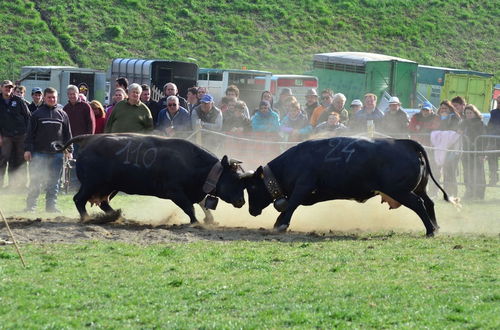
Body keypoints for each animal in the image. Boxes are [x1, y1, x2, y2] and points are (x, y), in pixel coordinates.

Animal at [54, 133, 246, 223]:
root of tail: (89, 138)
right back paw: (87, 218)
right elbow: (189, 208)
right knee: (79, 199)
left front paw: (209, 219)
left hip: (109, 186)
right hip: (91, 184)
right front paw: (196, 222)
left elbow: (201, 203)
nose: (242, 201)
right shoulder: (175, 192)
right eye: (235, 179)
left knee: (103, 203)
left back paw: (119, 217)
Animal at [240, 137, 456, 237]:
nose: (251, 210)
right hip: (418, 188)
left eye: (252, 187)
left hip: (400, 191)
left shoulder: (303, 186)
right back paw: (436, 227)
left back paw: (430, 231)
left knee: (418, 204)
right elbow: (290, 205)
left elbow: (292, 204)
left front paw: (281, 224)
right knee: (429, 202)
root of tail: (405, 143)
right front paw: (278, 222)